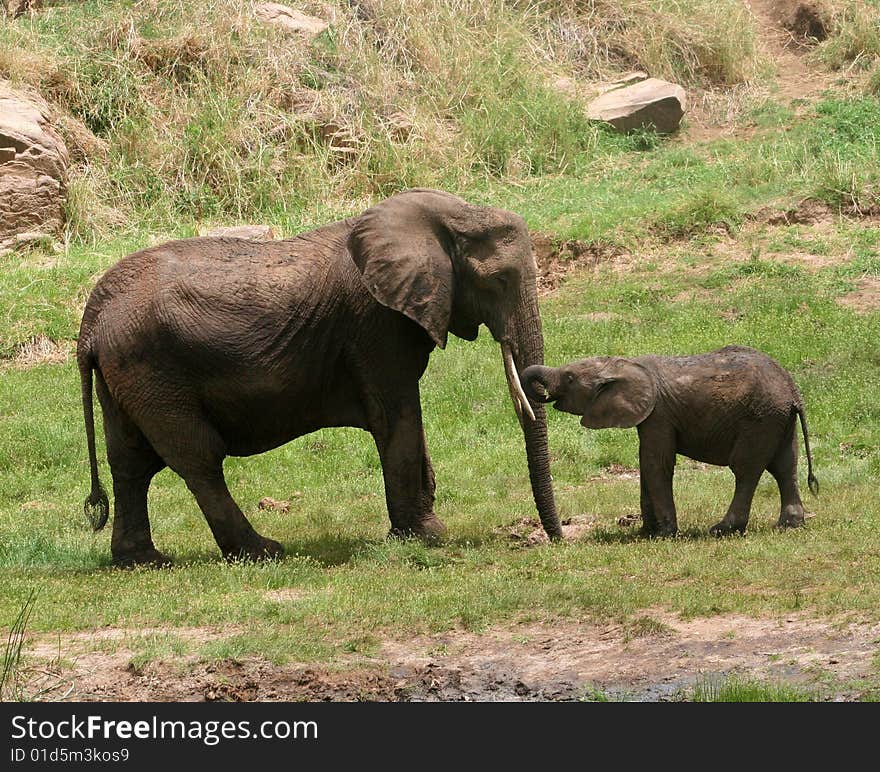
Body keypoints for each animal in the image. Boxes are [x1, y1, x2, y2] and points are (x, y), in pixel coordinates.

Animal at [81, 187, 564, 564]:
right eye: (498, 281)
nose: (556, 538)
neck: (448, 213)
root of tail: (91, 321)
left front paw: (426, 530)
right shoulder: (374, 325)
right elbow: (398, 415)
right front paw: (425, 538)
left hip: (126, 374)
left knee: (130, 459)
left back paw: (144, 560)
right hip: (151, 369)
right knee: (197, 457)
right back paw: (262, 551)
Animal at [524, 346, 820, 536]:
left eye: (569, 378)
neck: (624, 364)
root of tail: (793, 392)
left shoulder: (659, 414)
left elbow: (656, 463)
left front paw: (665, 534)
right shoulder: (649, 417)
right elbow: (647, 463)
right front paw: (645, 532)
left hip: (759, 419)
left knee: (746, 470)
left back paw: (723, 530)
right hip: (778, 419)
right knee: (785, 466)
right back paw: (788, 526)